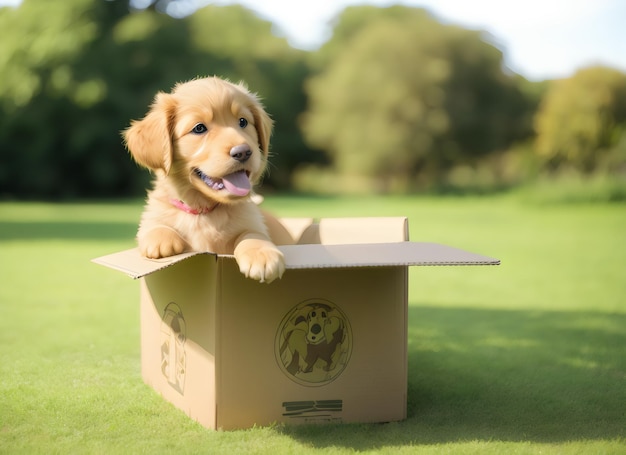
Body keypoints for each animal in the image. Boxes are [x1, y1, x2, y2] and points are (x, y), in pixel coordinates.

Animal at [123, 78, 284, 284]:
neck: (203, 212)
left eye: (243, 122)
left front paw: (262, 255)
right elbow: (152, 227)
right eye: (199, 128)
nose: (243, 152)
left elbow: (253, 235)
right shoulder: (153, 216)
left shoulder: (252, 223)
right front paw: (160, 240)